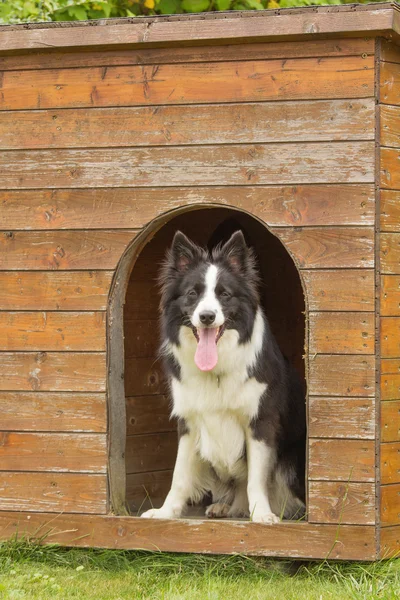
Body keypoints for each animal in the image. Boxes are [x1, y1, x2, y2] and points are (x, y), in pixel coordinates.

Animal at [141, 231, 306, 524]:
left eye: (225, 294)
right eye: (192, 293)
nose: (207, 316)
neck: (215, 370)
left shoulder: (260, 421)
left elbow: (256, 479)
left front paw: (262, 515)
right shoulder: (189, 420)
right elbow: (179, 476)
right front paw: (165, 512)